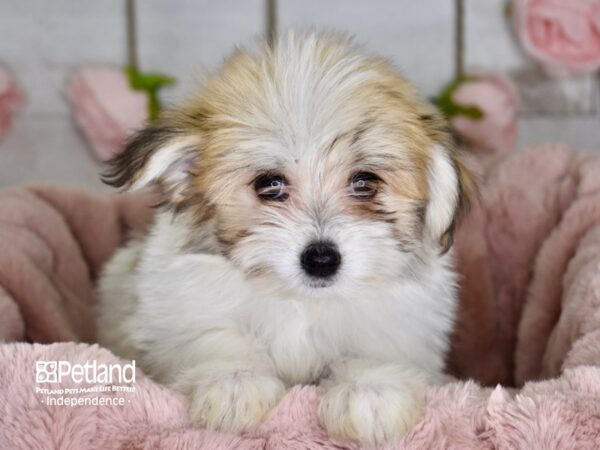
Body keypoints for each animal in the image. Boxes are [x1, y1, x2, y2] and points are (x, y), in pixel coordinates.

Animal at [97, 30, 474, 446]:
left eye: (365, 182)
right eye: (269, 184)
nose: (321, 259)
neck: (301, 302)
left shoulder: (403, 322)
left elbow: (375, 346)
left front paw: (371, 388)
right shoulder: (180, 303)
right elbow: (215, 335)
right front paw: (234, 380)